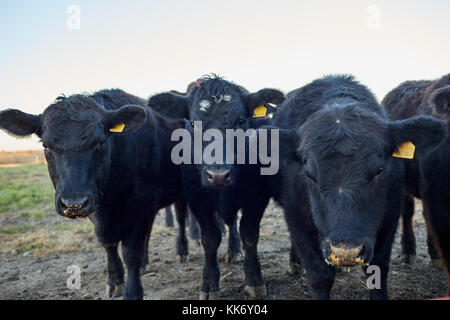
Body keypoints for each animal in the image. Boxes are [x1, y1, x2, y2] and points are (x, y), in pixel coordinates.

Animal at [0, 89, 186, 298]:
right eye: (45, 145)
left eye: (101, 141)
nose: (73, 203)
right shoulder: (98, 212)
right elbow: (109, 244)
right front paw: (115, 280)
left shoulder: (142, 205)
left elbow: (131, 252)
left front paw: (132, 291)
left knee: (180, 219)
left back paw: (182, 251)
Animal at [150, 74, 284, 298]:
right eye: (193, 123)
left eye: (240, 121)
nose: (218, 175)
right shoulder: (197, 198)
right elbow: (210, 239)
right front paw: (210, 284)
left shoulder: (257, 197)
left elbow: (249, 234)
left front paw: (254, 280)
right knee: (181, 218)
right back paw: (182, 250)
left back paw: (234, 250)